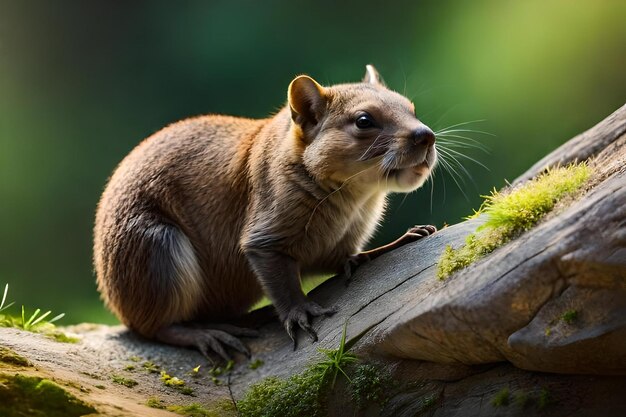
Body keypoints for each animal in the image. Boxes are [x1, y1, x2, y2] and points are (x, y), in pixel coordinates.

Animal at [94, 65, 434, 358]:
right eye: (363, 120)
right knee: (156, 327)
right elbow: (281, 281)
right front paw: (300, 312)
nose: (426, 136)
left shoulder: (339, 243)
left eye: (411, 108)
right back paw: (208, 334)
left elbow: (349, 259)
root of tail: (116, 302)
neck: (354, 200)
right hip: (158, 251)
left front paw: (400, 241)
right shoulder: (265, 237)